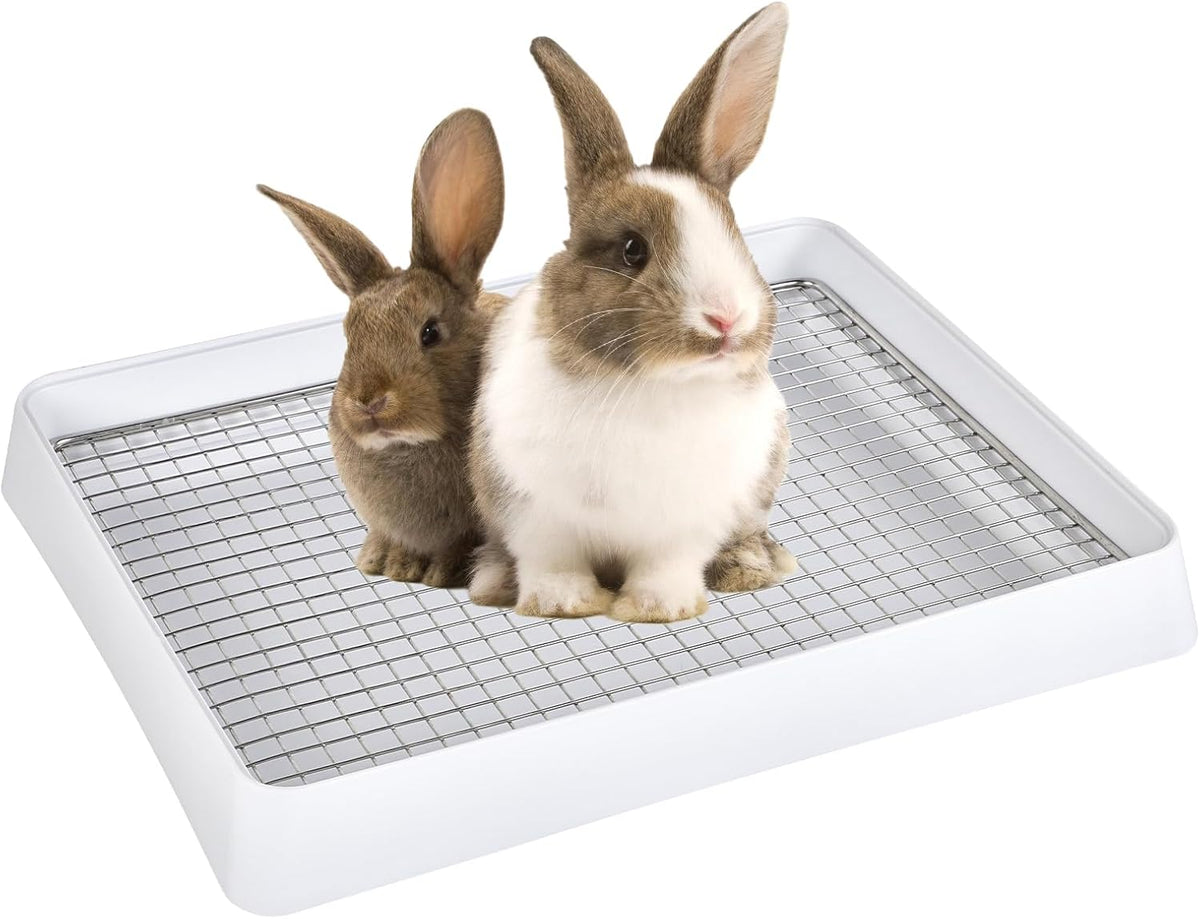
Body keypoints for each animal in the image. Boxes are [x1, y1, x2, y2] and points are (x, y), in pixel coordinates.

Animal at [468, 4, 797, 622]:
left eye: (734, 236)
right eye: (631, 250)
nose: (726, 321)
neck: (652, 386)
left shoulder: (687, 522)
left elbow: (666, 566)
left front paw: (658, 609)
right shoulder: (533, 511)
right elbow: (552, 563)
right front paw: (563, 605)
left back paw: (751, 569)